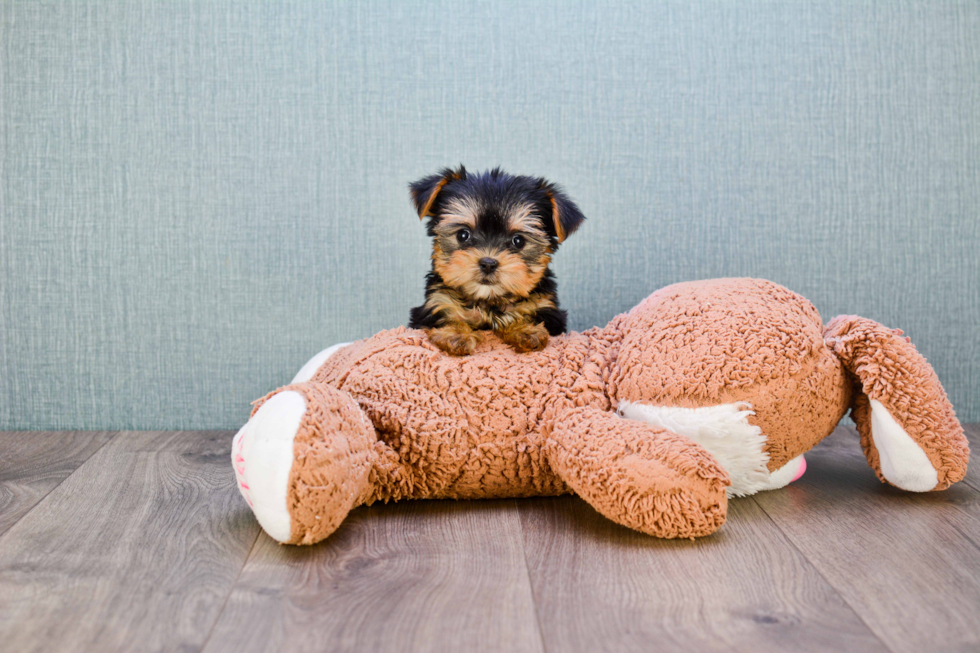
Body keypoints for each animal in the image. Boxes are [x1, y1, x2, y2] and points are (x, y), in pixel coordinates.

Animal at [410, 166, 584, 354]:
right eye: (463, 235)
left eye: (518, 241)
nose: (488, 263)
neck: (489, 300)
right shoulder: (438, 300)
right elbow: (446, 314)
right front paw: (456, 334)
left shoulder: (546, 307)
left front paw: (525, 330)